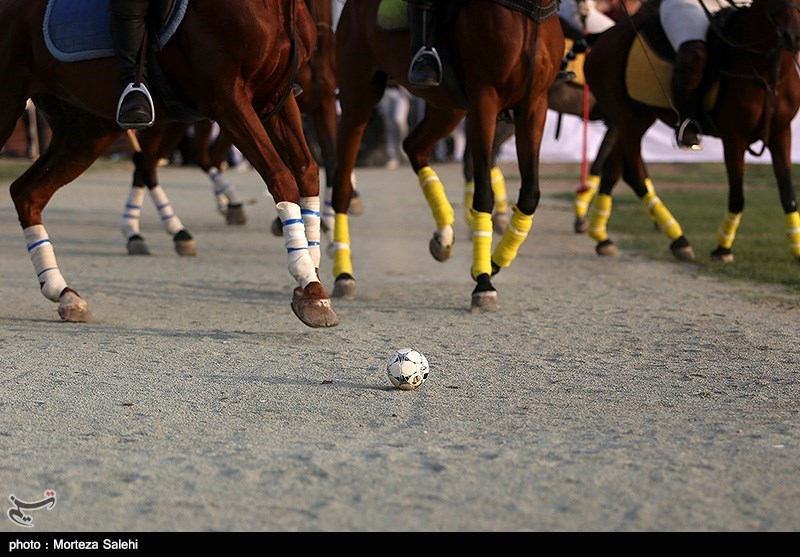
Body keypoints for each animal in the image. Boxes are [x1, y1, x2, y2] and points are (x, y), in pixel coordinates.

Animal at [0, 0, 340, 326]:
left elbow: (308, 172)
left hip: (86, 132)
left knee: (27, 193)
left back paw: (64, 293)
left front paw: (313, 273)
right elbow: (281, 176)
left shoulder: (277, 98)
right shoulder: (228, 101)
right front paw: (309, 284)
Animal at [328, 0, 564, 310]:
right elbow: (483, 194)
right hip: (358, 98)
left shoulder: (534, 105)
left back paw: (444, 234)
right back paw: (343, 275)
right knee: (343, 186)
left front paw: (493, 263)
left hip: (446, 107)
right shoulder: (484, 101)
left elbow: (530, 195)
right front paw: (484, 282)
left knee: (414, 147)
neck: (529, 14)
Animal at [580, 0, 800, 262]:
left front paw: (796, 249)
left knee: (615, 171)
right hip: (626, 117)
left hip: (636, 119)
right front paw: (723, 249)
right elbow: (737, 195)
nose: (794, 37)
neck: (765, 70)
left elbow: (788, 194)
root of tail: (604, 37)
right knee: (634, 173)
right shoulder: (734, 137)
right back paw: (678, 239)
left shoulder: (781, 133)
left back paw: (602, 237)